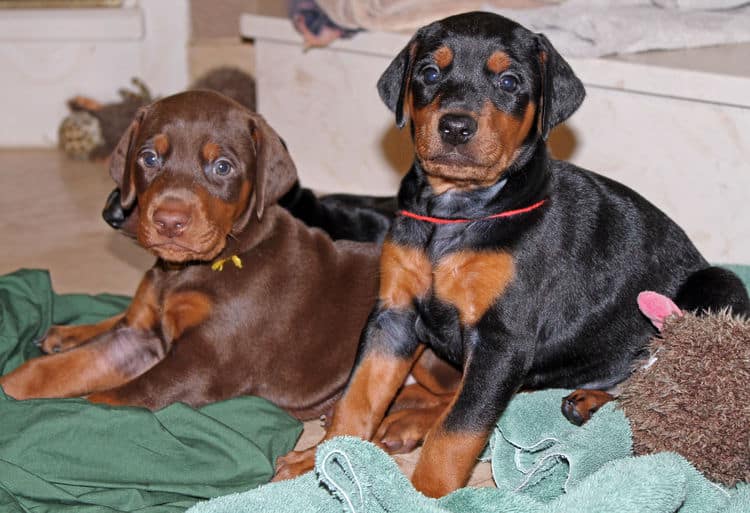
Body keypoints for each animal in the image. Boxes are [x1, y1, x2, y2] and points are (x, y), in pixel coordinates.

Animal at [1, 90, 458, 422]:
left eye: (222, 167)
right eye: (149, 157)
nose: (169, 220)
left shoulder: (204, 363)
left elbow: (107, 401)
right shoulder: (139, 337)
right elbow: (54, 370)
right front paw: (13, 386)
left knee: (453, 402)